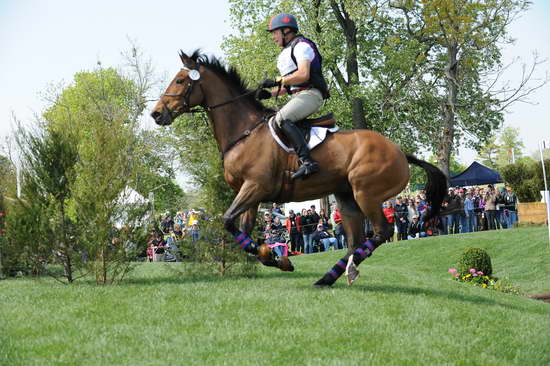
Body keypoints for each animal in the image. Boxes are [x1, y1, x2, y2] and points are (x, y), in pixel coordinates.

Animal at [151, 50, 448, 286]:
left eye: (180, 80)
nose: (156, 114)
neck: (244, 132)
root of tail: (399, 152)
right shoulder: (250, 194)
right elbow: (242, 233)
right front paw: (275, 258)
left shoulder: (255, 187)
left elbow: (227, 221)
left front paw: (275, 257)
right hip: (346, 197)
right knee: (355, 241)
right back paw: (330, 276)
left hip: (366, 193)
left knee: (380, 233)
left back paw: (342, 272)